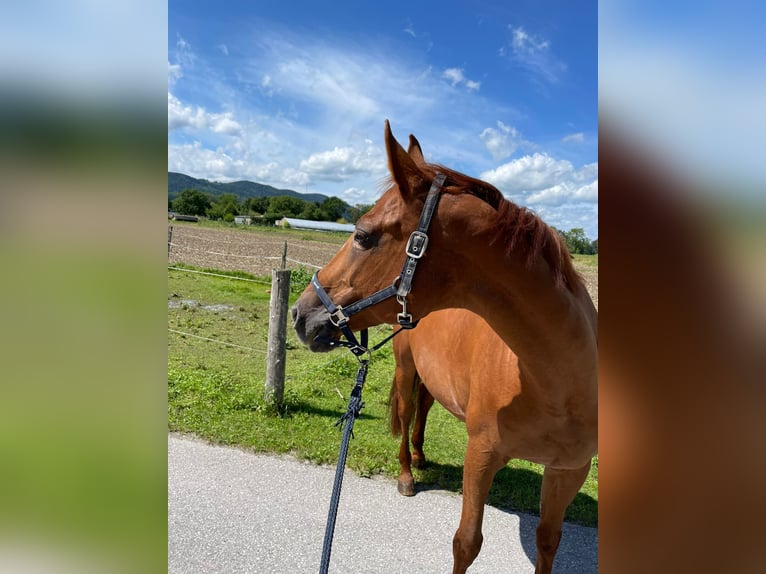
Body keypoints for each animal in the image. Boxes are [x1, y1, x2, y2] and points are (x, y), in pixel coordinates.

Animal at [292, 121, 598, 574]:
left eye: (363, 236)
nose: (300, 313)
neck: (552, 382)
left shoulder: (568, 470)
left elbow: (548, 541)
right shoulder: (481, 458)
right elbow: (466, 542)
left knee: (423, 407)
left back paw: (420, 457)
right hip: (405, 369)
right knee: (406, 411)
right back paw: (407, 474)